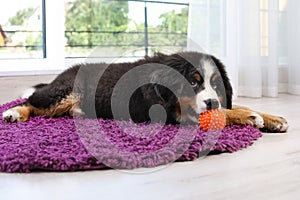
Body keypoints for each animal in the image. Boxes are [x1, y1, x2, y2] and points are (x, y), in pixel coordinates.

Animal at [2, 52, 288, 132]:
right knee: (32, 101)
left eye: (215, 84)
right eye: (193, 82)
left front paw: (272, 118)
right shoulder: (174, 112)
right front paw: (251, 117)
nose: (212, 102)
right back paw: (14, 113)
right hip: (64, 92)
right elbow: (227, 113)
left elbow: (232, 106)